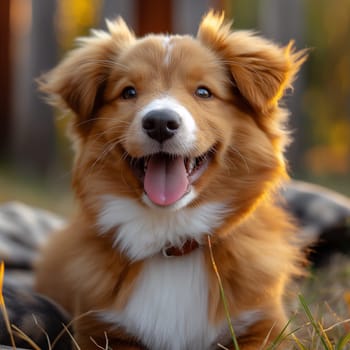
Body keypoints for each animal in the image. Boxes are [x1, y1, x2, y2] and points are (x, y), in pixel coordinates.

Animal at [35, 10, 308, 350]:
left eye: (203, 92)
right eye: (129, 92)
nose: (160, 123)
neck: (171, 238)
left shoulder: (265, 326)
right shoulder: (100, 330)